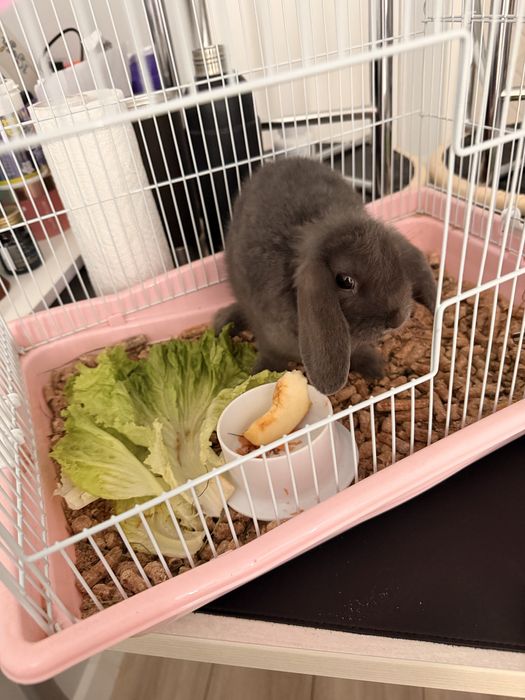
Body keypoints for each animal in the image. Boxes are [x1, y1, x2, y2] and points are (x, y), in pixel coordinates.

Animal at [213, 157, 436, 395]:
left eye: (395, 260)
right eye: (345, 281)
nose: (397, 319)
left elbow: (355, 351)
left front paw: (375, 366)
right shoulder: (268, 335)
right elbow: (271, 355)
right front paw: (259, 376)